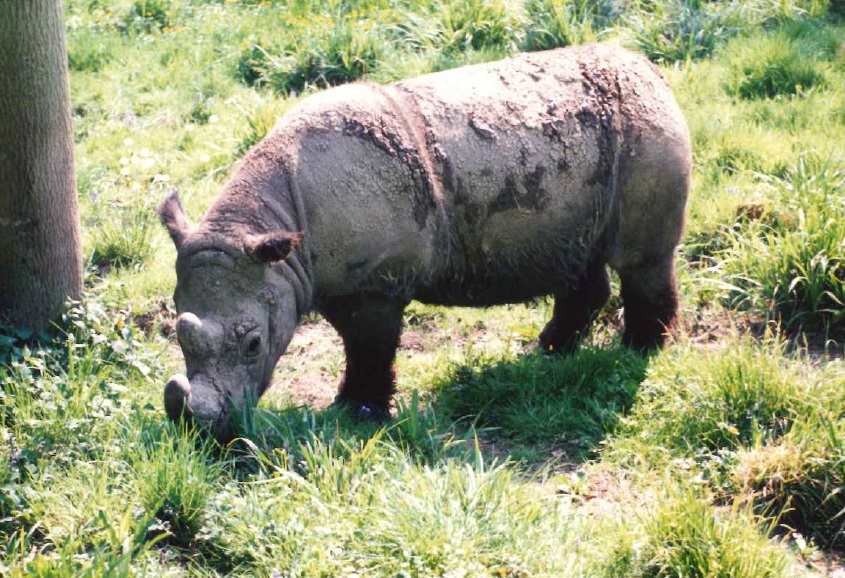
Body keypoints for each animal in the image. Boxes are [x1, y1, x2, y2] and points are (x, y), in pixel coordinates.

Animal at [159, 44, 691, 441]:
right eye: (177, 335)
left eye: (253, 344)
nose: (200, 427)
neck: (273, 223)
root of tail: (654, 72)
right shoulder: (323, 277)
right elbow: (358, 342)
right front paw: (355, 407)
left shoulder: (374, 283)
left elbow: (368, 347)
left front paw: (357, 411)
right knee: (579, 255)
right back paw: (552, 349)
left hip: (646, 133)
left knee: (643, 259)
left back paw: (639, 351)